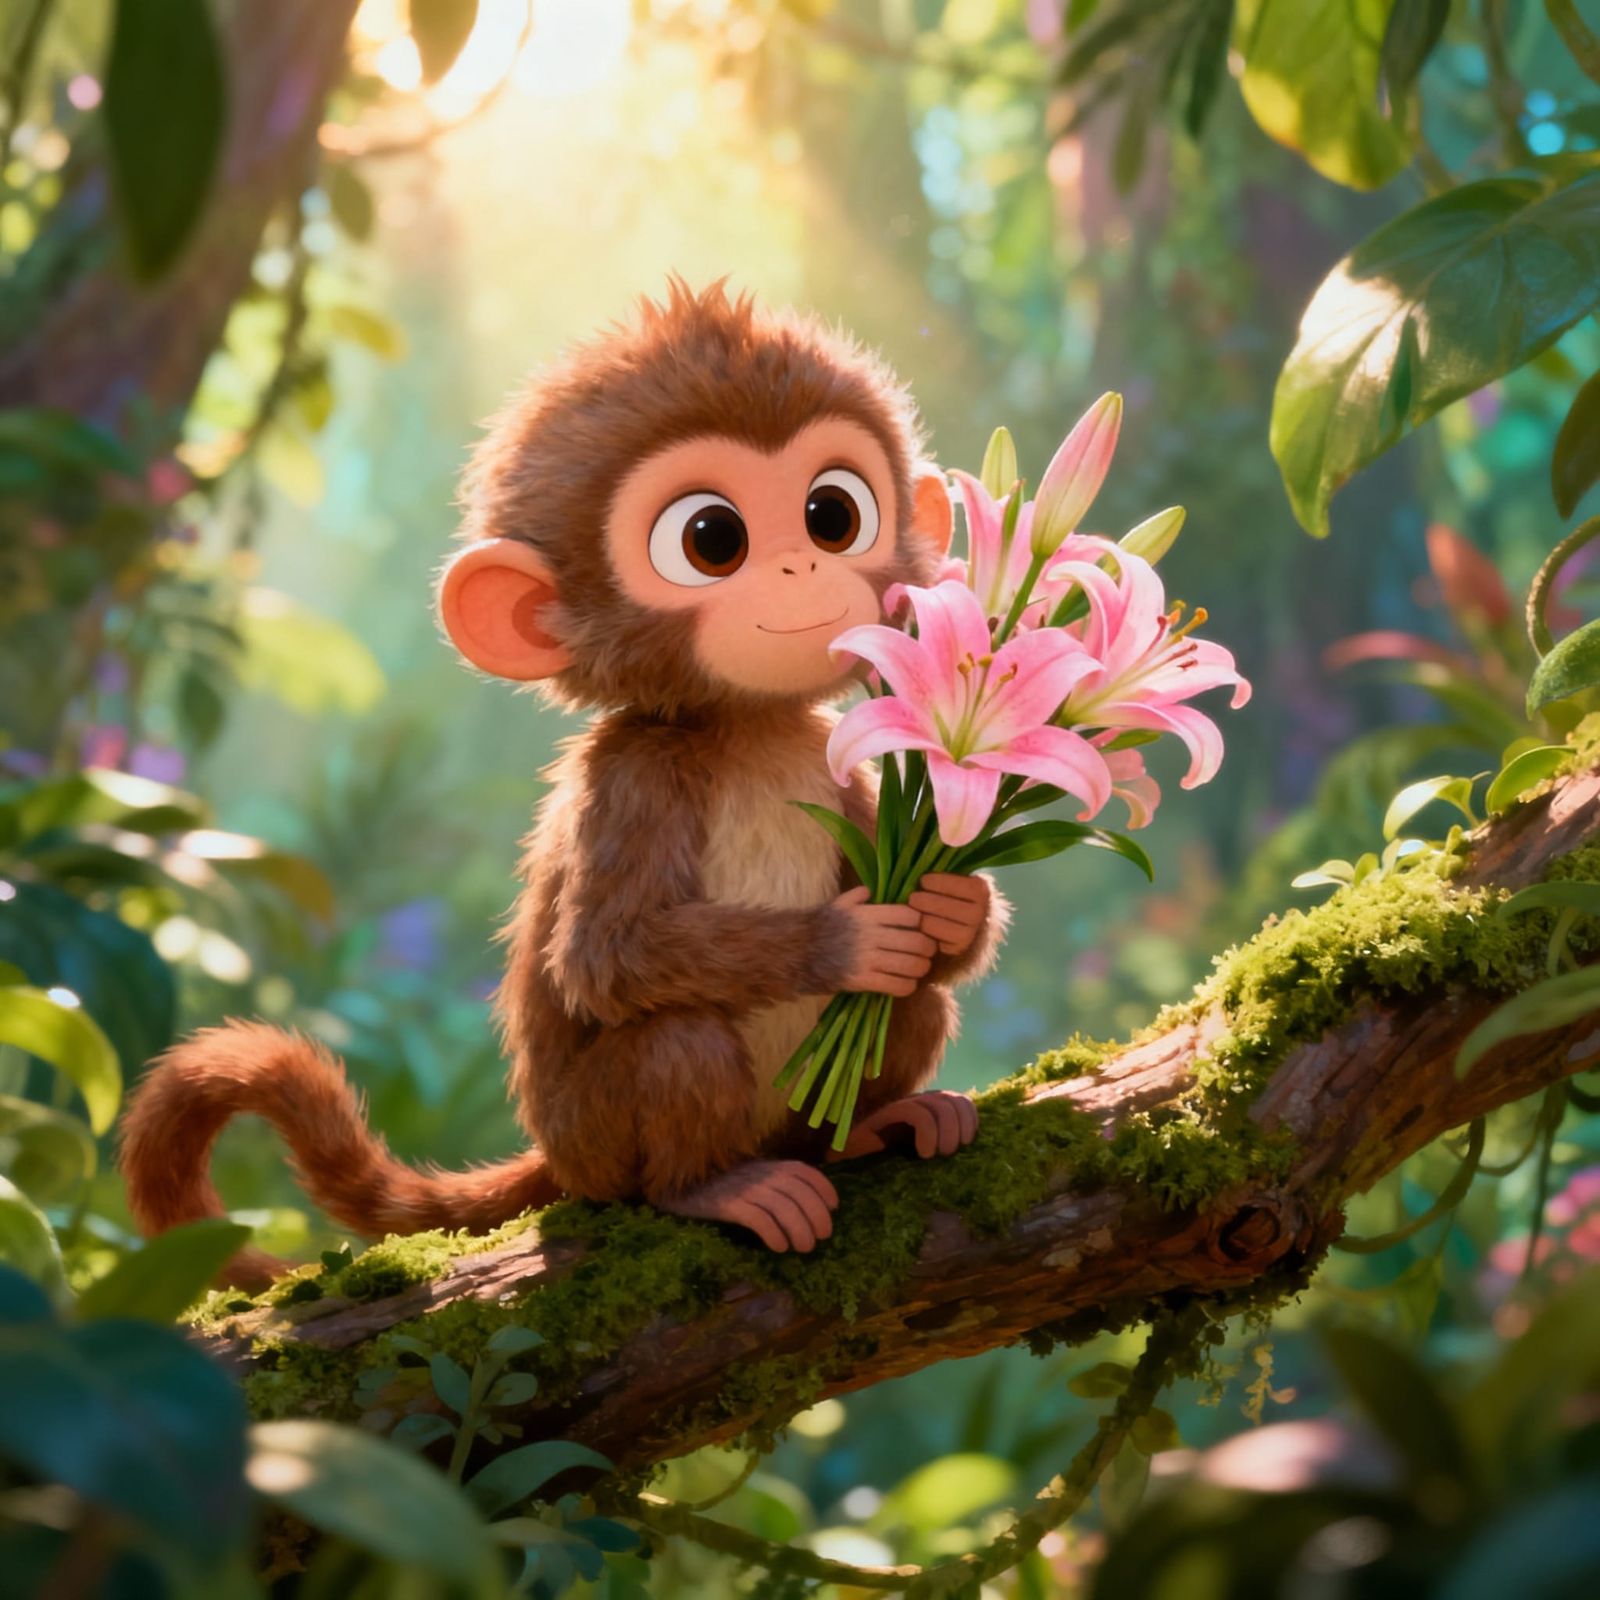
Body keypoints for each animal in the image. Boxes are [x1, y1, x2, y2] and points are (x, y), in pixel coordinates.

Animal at [118, 280, 1008, 1281]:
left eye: (833, 515)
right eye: (712, 538)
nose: (801, 565)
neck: (748, 734)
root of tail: (558, 1154)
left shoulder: (834, 762)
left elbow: (927, 946)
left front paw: (949, 907)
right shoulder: (633, 779)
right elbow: (607, 956)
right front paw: (847, 942)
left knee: (914, 1000)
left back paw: (871, 1127)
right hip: (601, 1135)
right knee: (676, 1039)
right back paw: (716, 1186)